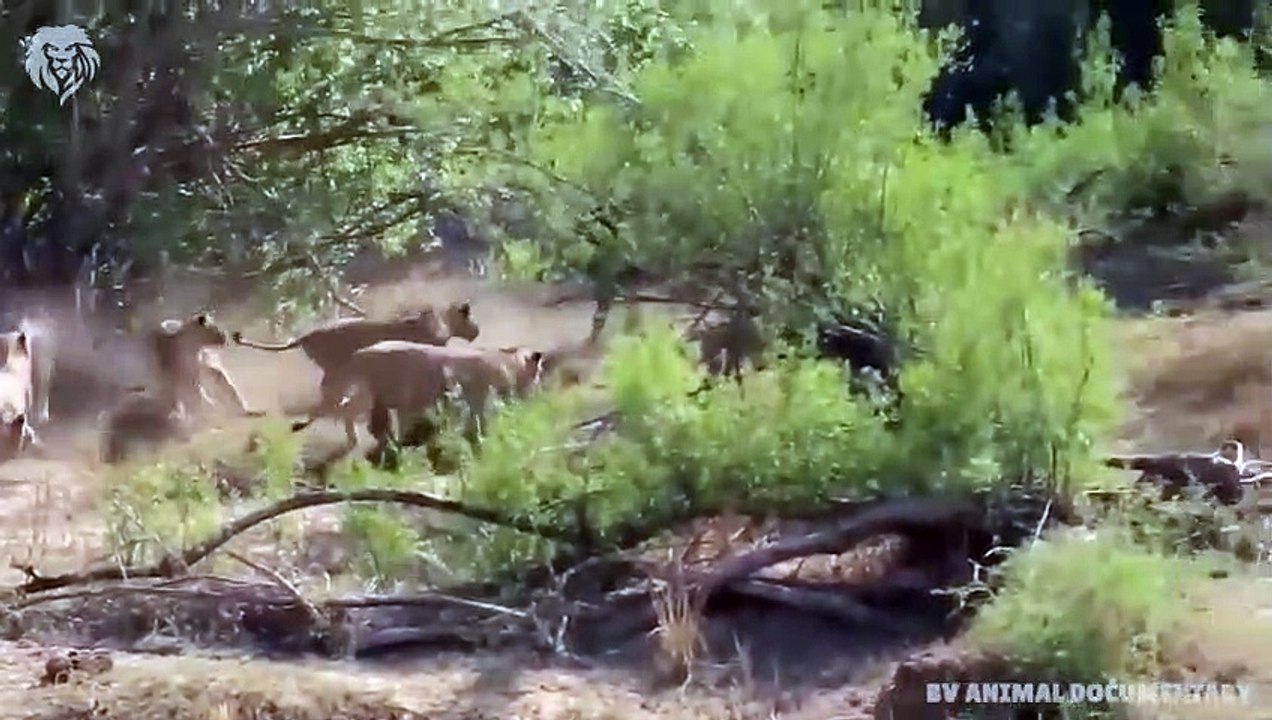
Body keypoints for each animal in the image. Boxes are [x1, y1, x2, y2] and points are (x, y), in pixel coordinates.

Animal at [290, 341, 545, 453]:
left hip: (378, 399)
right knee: (343, 415)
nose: (538, 390)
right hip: (369, 397)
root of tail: (356, 356)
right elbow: (479, 424)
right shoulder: (477, 399)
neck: (508, 363)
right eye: (539, 372)